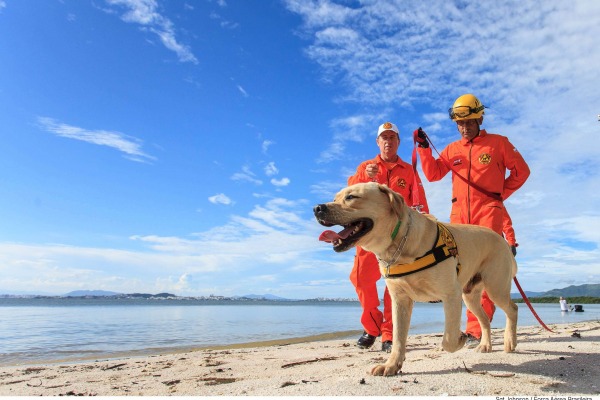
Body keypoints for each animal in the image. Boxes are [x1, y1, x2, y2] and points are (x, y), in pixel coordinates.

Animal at [314, 183, 516, 376]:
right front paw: (391, 365)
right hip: (469, 296)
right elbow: (398, 338)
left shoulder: (451, 294)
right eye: (335, 198)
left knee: (512, 309)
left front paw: (460, 338)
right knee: (485, 319)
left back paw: (510, 342)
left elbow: (448, 339)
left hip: (495, 287)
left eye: (351, 197)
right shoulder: (400, 300)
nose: (317, 208)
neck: (399, 245)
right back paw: (485, 345)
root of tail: (502, 240)